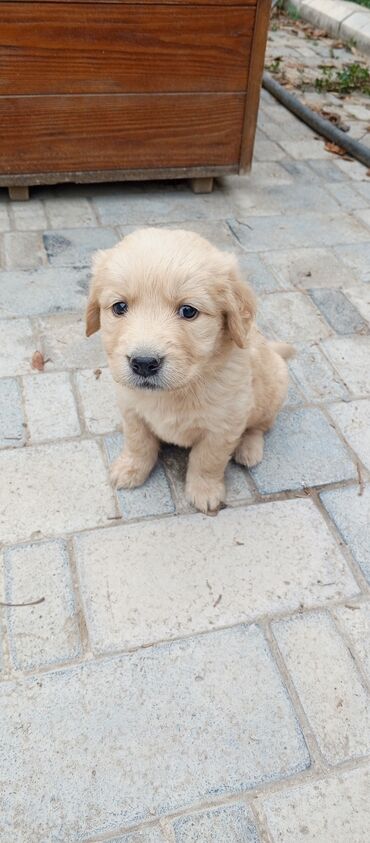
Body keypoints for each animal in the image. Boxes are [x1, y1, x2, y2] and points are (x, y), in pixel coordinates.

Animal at [86, 227, 292, 516]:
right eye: (119, 307)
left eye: (188, 311)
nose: (144, 363)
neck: (180, 388)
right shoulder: (131, 409)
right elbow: (138, 442)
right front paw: (131, 468)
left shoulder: (224, 425)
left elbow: (207, 460)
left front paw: (204, 491)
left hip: (274, 389)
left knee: (260, 426)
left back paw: (248, 448)